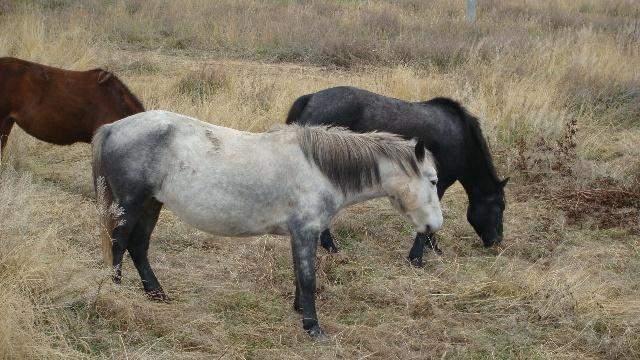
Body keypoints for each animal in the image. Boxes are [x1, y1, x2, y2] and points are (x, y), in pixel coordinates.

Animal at [92, 110, 442, 340]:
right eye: (433, 180)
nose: (434, 227)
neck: (319, 168)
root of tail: (111, 127)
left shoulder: (299, 235)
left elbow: (300, 275)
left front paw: (300, 311)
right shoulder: (306, 232)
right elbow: (308, 277)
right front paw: (313, 327)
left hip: (152, 204)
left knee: (138, 247)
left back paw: (156, 294)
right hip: (130, 205)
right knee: (119, 244)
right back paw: (116, 293)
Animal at [288, 86, 508, 266]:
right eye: (499, 207)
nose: (496, 241)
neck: (460, 139)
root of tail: (311, 98)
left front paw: (433, 248)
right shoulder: (436, 184)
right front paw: (417, 257)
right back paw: (329, 245)